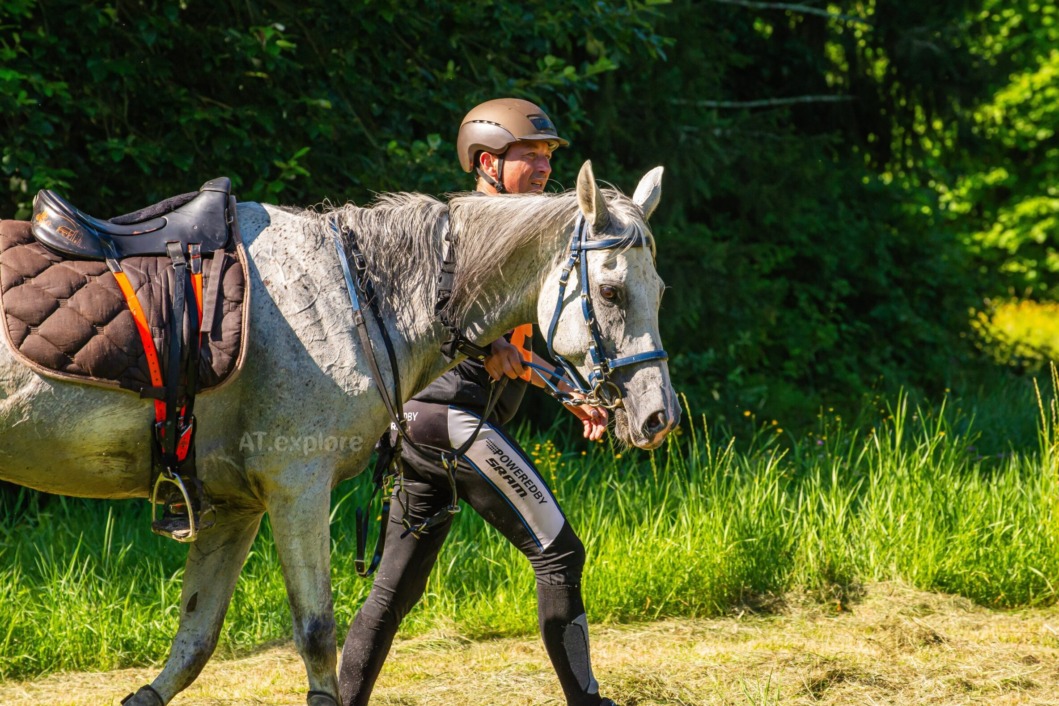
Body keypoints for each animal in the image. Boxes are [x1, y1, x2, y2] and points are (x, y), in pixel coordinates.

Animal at [0, 161, 677, 706]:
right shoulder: (297, 488)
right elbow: (318, 633)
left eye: (660, 288)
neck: (351, 297)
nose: (658, 416)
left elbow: (194, 641)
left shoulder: (233, 505)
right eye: (611, 290)